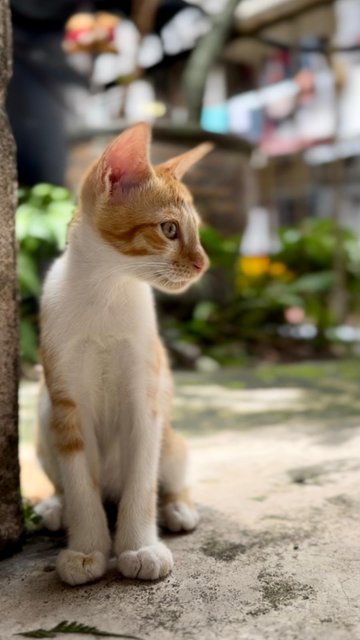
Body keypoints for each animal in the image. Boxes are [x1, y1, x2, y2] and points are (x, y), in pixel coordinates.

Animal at [35, 122, 212, 588]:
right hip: (43, 416)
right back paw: (55, 506)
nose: (203, 264)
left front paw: (139, 547)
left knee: (174, 473)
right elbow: (81, 483)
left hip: (173, 439)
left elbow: (141, 481)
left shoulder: (145, 396)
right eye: (169, 230)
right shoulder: (66, 400)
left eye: (197, 232)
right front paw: (87, 549)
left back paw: (178, 506)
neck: (107, 293)